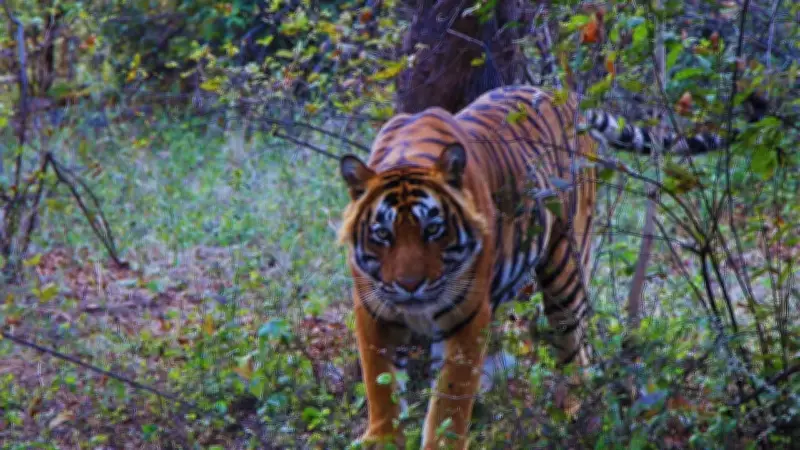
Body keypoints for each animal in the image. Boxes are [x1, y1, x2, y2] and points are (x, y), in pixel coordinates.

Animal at [337, 85, 726, 449]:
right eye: (383, 235)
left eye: (433, 229)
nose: (410, 286)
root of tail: (565, 94)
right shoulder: (372, 308)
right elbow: (380, 383)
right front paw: (382, 440)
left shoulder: (467, 313)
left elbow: (451, 394)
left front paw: (443, 441)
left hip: (565, 273)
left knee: (577, 355)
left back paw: (577, 419)